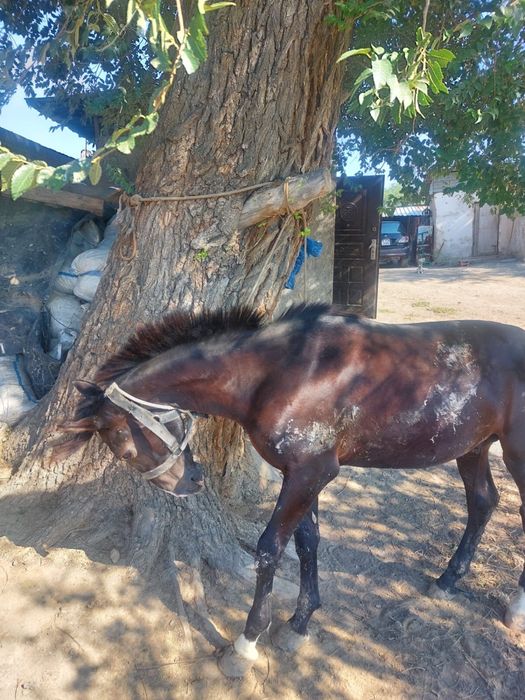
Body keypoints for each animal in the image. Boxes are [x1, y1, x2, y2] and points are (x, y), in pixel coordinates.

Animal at [54, 304, 525, 677]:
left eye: (124, 444)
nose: (190, 483)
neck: (284, 372)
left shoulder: (310, 473)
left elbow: (269, 549)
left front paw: (245, 645)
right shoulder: (303, 475)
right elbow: (307, 543)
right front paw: (299, 623)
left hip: (515, 453)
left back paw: (515, 608)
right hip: (473, 447)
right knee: (482, 502)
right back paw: (448, 580)